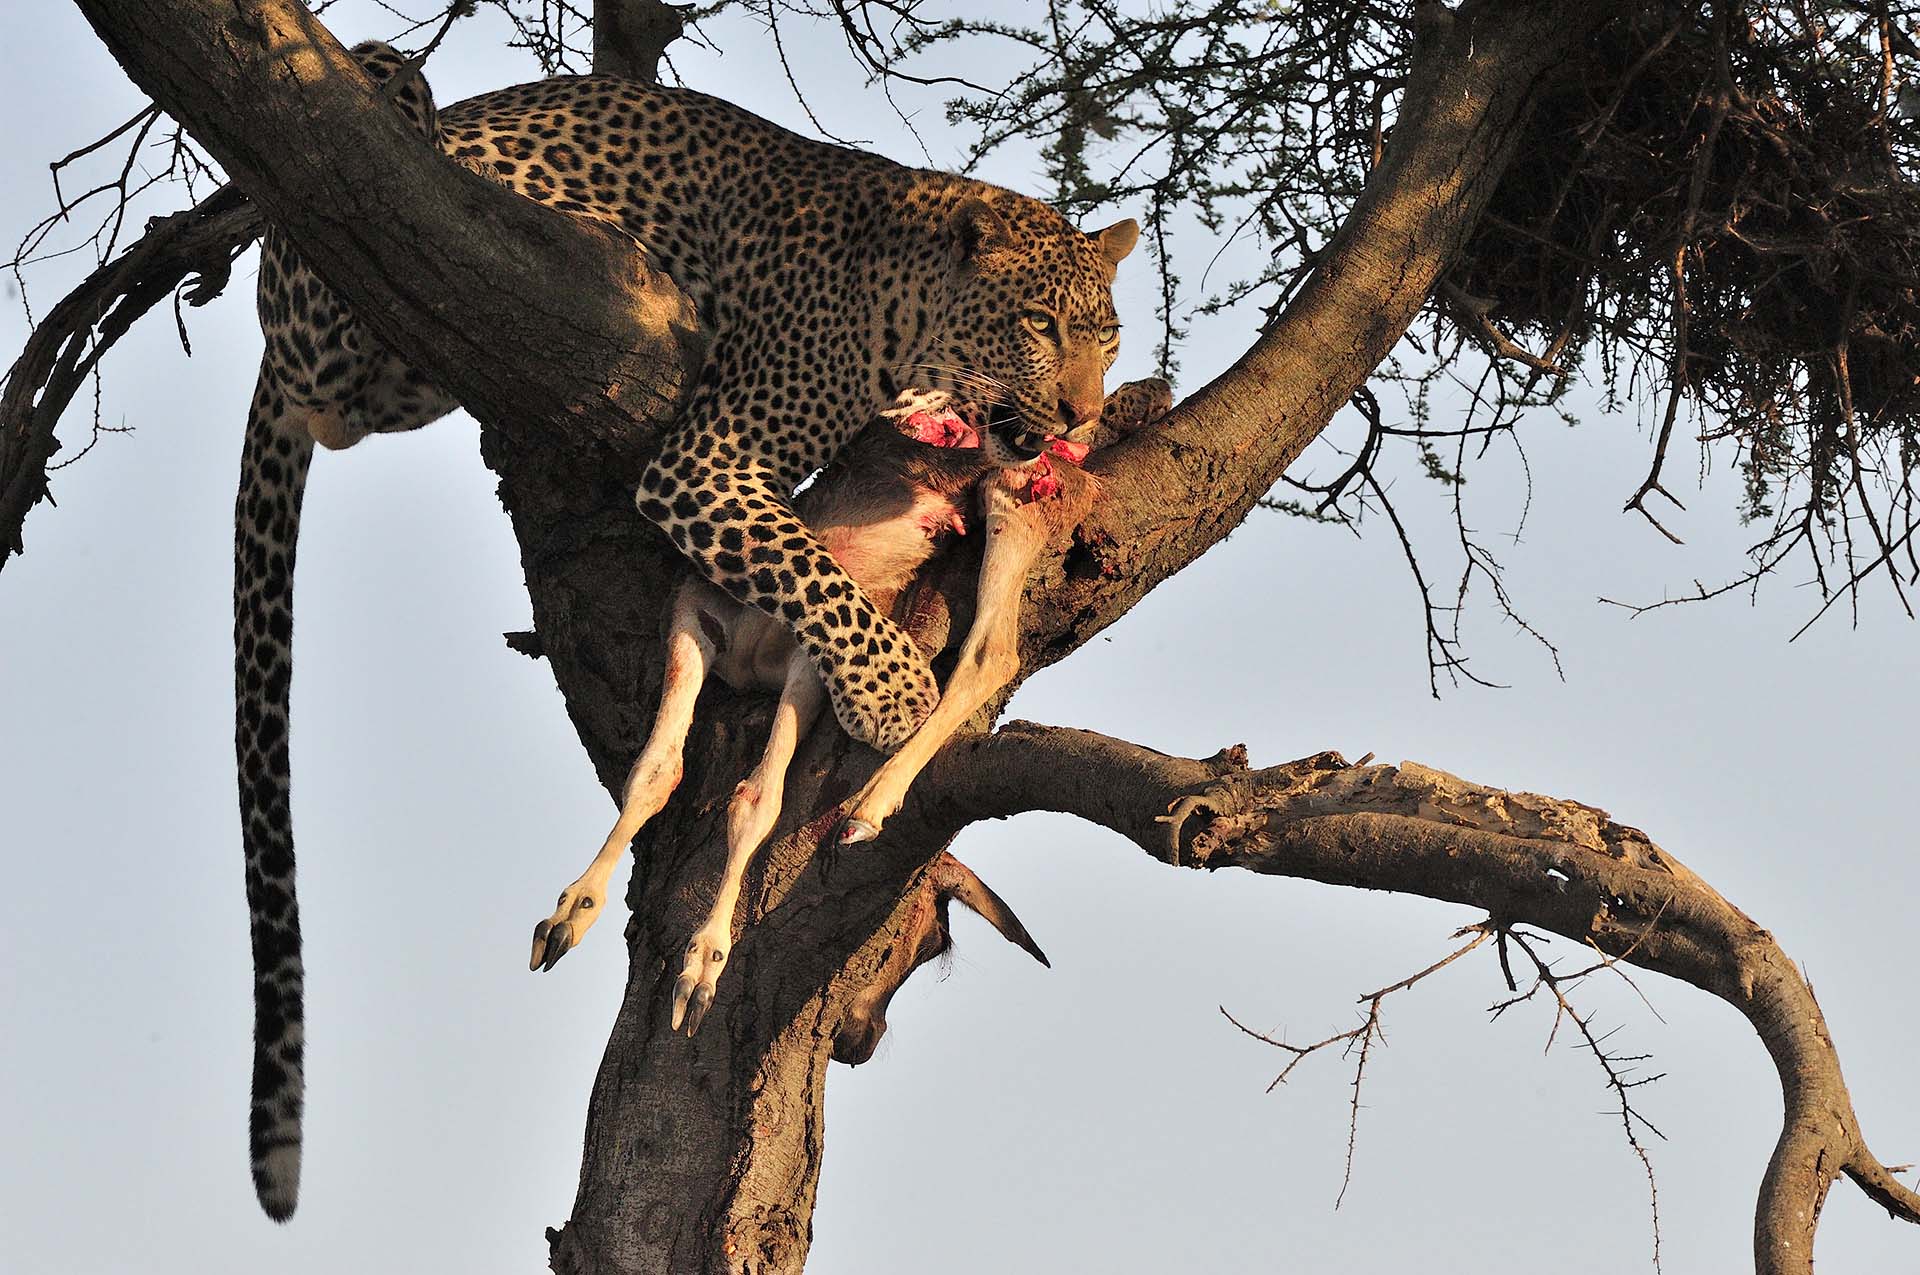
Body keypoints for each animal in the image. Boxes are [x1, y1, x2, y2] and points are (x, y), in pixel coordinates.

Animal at [240, 37, 1136, 1213]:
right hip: (343, 260)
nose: (1086, 413)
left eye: (1106, 335)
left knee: (988, 649)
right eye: (1041, 326)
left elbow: (811, 623)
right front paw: (889, 690)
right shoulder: (705, 474)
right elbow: (800, 600)